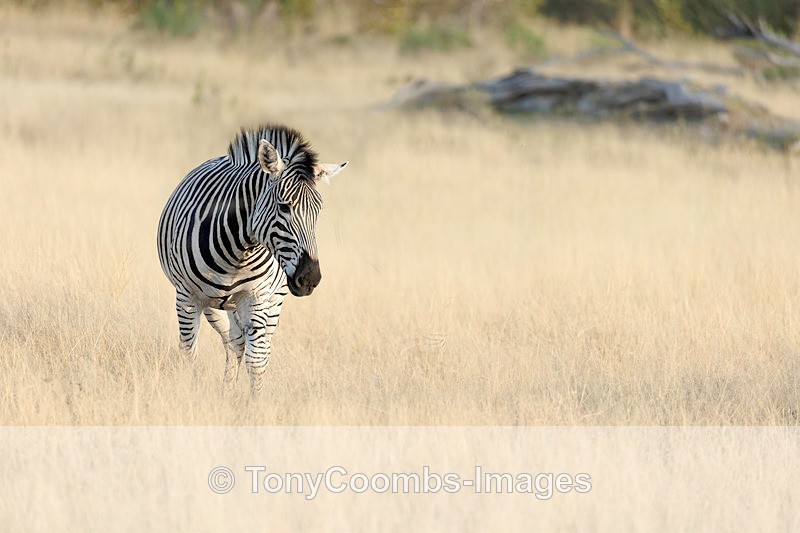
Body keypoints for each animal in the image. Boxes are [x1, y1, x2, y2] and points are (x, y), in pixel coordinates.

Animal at [157, 124, 347, 394]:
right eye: (284, 207)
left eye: (318, 211)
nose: (310, 278)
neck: (238, 253)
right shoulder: (187, 297)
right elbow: (187, 353)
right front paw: (187, 393)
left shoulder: (257, 296)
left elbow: (256, 362)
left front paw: (254, 403)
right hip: (214, 305)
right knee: (234, 341)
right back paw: (226, 392)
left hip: (272, 300)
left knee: (257, 347)